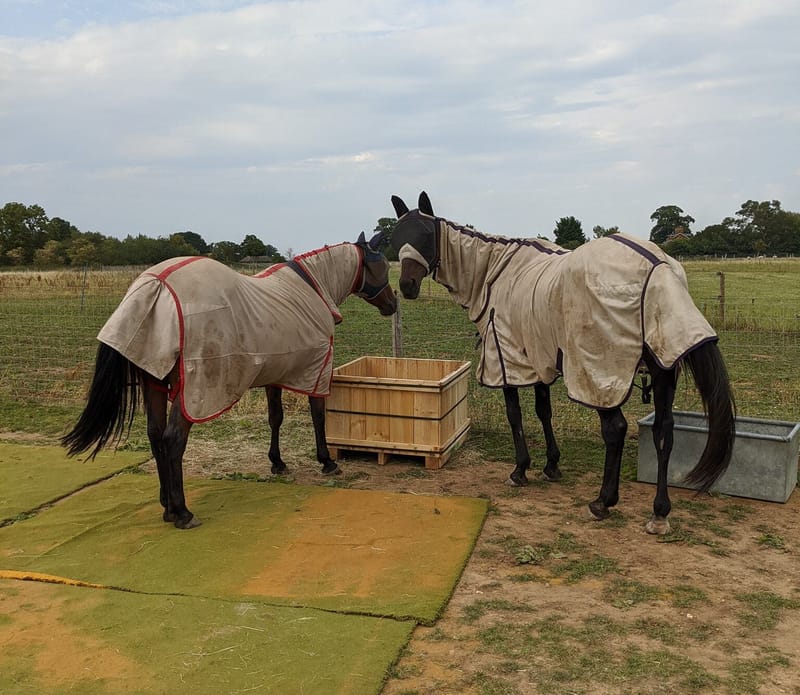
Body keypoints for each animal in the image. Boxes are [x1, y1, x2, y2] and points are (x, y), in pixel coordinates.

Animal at [62, 231, 396, 532]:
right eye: (381, 265)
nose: (393, 303)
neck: (312, 287)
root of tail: (156, 286)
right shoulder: (317, 371)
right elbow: (317, 415)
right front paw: (327, 461)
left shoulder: (276, 372)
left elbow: (275, 418)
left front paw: (277, 463)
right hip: (194, 390)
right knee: (173, 439)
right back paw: (183, 513)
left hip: (153, 383)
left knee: (155, 435)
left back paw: (167, 507)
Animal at [390, 193, 736, 536]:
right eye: (396, 236)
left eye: (425, 234)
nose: (406, 285)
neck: (494, 272)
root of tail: (658, 265)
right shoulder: (537, 357)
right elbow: (544, 411)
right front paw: (551, 465)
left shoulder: (506, 360)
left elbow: (515, 414)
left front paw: (520, 470)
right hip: (664, 370)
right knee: (664, 432)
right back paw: (660, 512)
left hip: (599, 374)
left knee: (616, 429)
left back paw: (603, 502)